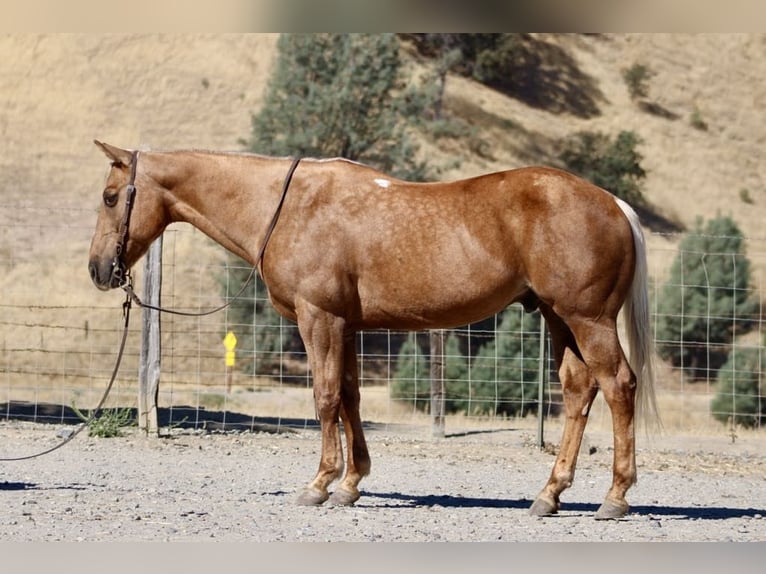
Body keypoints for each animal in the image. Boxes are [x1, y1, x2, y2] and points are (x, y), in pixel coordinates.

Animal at [88, 140, 658, 519]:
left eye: (111, 196)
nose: (98, 269)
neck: (288, 206)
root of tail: (613, 204)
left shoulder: (319, 318)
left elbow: (323, 398)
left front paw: (319, 484)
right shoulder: (347, 325)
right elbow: (349, 397)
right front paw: (351, 483)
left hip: (587, 319)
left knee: (618, 386)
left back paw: (615, 497)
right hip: (559, 319)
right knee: (579, 390)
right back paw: (549, 494)